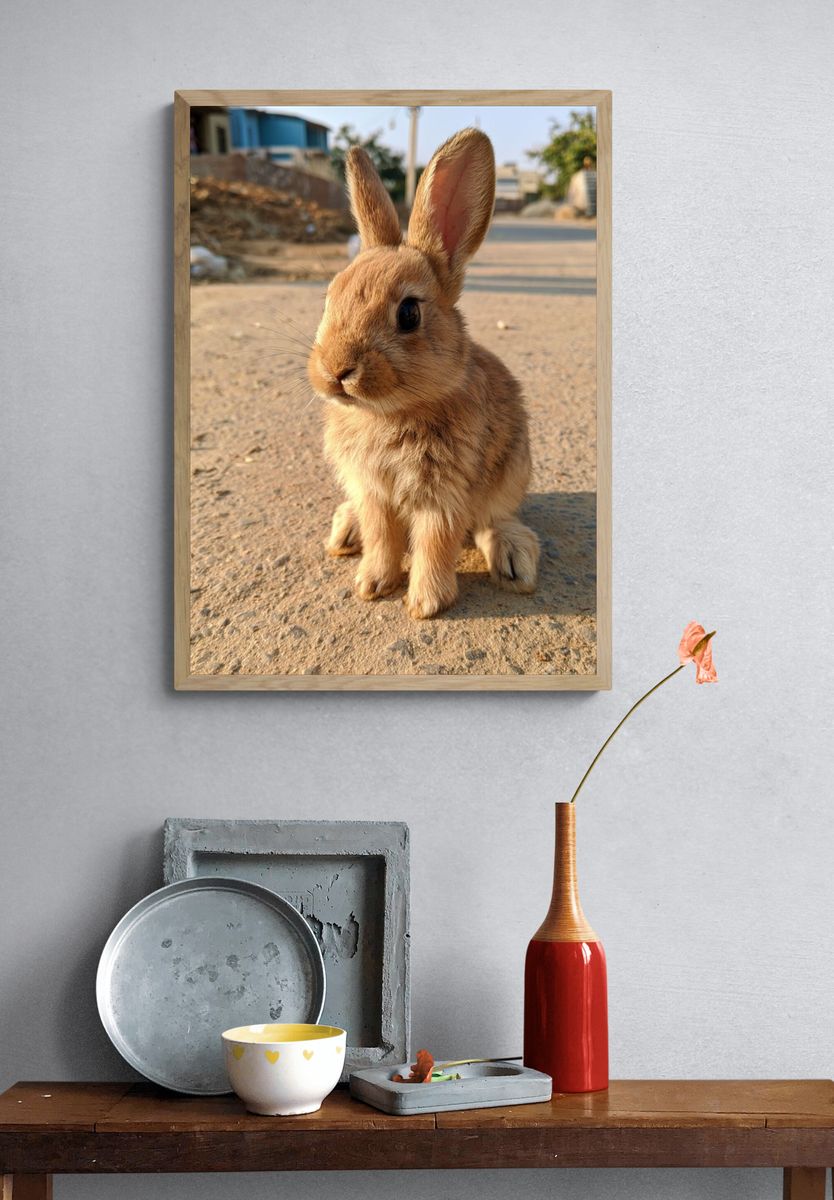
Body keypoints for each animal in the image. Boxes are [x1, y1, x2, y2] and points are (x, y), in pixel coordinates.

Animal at [307, 127, 539, 620]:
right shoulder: (373, 491)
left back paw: (514, 558)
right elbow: (382, 536)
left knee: (493, 520)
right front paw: (373, 584)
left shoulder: (444, 494)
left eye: (409, 313)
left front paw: (425, 604)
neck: (388, 413)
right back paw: (346, 531)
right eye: (329, 298)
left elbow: (435, 542)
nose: (335, 370)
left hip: (512, 473)